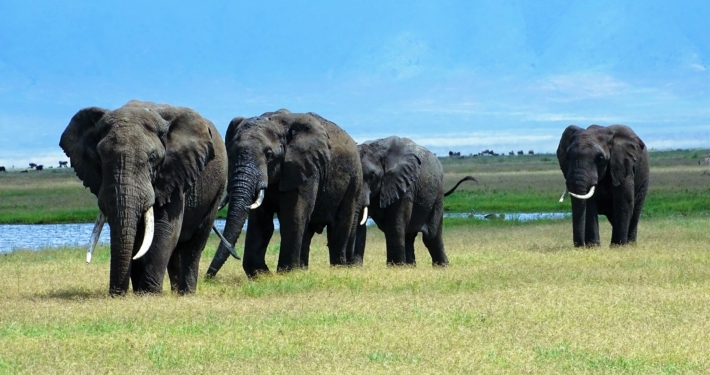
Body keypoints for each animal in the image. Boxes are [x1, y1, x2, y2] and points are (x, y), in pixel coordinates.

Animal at [61, 100, 229, 296]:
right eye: (100, 158)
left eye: (152, 158)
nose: (116, 294)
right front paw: (137, 292)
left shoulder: (174, 174)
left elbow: (165, 228)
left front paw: (148, 294)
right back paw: (175, 293)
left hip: (218, 188)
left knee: (195, 242)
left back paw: (186, 293)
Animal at [204, 108, 362, 280]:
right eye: (231, 155)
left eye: (269, 155)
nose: (207, 277)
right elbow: (261, 221)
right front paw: (261, 274)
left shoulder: (304, 168)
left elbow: (292, 216)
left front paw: (286, 273)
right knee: (307, 230)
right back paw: (302, 269)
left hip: (354, 179)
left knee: (341, 224)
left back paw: (337, 268)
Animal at [352, 137, 478, 268]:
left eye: (372, 176)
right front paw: (356, 267)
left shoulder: (404, 185)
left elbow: (395, 224)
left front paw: (396, 268)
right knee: (409, 236)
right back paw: (411, 267)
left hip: (437, 196)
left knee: (431, 237)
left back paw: (442, 267)